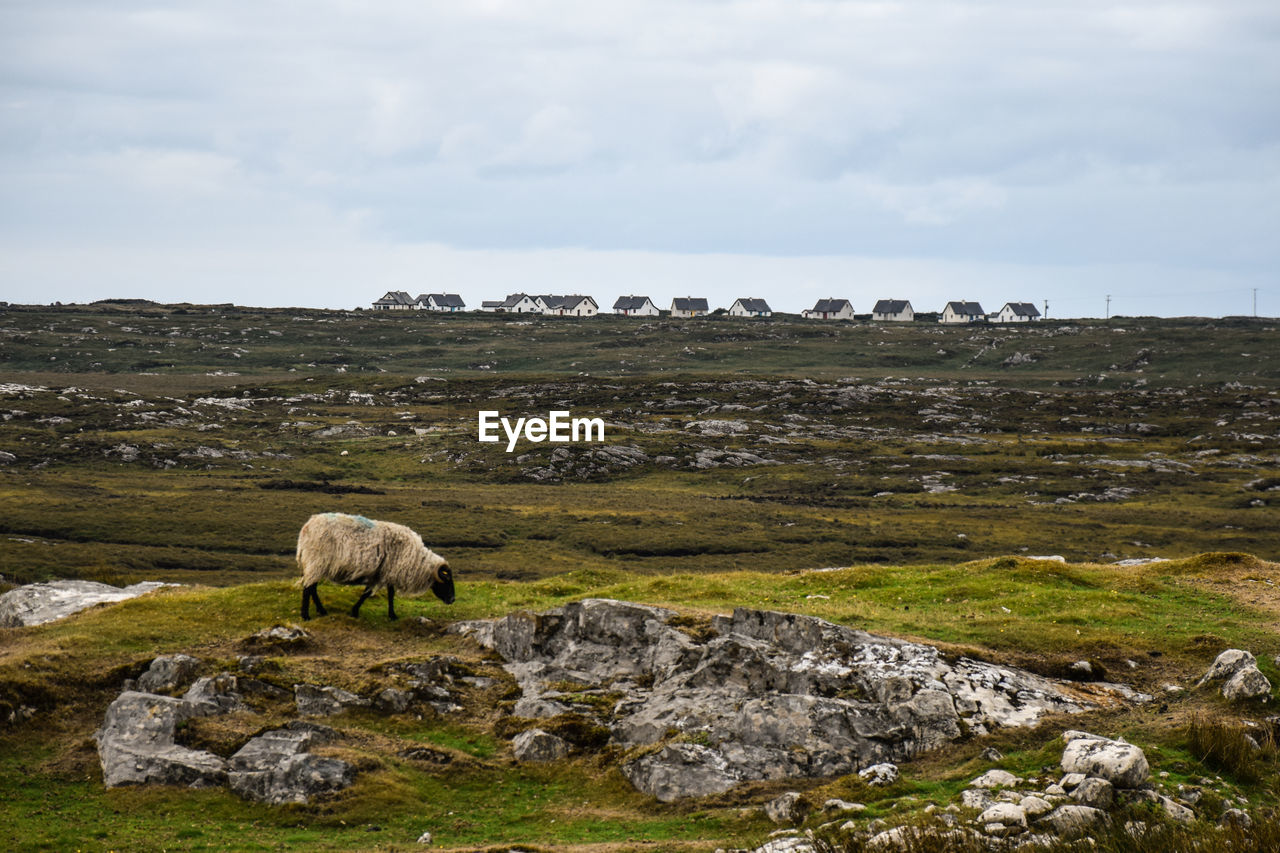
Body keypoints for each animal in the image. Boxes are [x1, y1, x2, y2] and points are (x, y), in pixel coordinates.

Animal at [294, 512, 455, 617]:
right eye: (447, 580)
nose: (452, 600)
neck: (417, 560)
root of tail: (306, 528)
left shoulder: (384, 572)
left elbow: (388, 593)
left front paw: (391, 614)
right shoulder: (383, 572)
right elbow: (368, 593)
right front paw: (355, 612)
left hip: (314, 564)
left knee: (312, 588)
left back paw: (321, 611)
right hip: (317, 562)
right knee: (308, 588)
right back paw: (305, 615)